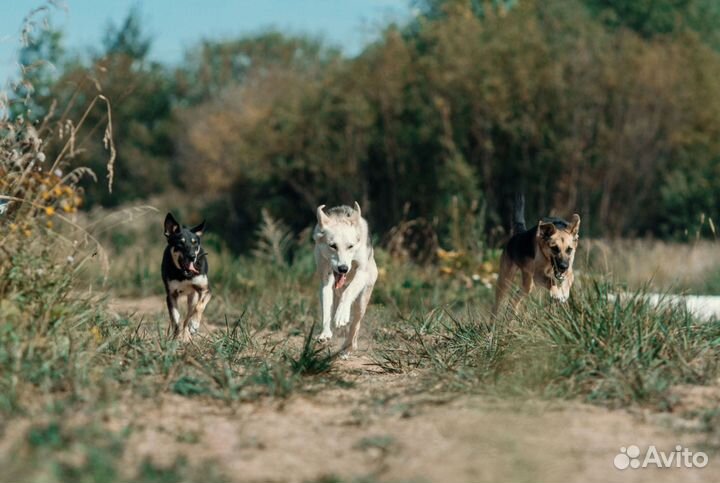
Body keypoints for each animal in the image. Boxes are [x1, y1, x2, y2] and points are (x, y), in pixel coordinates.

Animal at [161, 212, 211, 340]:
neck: (184, 275)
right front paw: (176, 337)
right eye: (180, 243)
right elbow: (176, 320)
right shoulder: (171, 295)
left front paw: (194, 325)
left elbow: (199, 307)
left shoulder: (205, 290)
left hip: (193, 297)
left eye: (195, 243)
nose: (192, 256)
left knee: (190, 313)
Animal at [314, 202, 380, 354]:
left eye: (350, 246)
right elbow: (326, 310)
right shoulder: (325, 281)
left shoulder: (362, 272)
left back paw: (348, 347)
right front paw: (324, 334)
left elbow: (348, 292)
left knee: (355, 325)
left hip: (361, 302)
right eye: (333, 246)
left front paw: (341, 316)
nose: (343, 268)